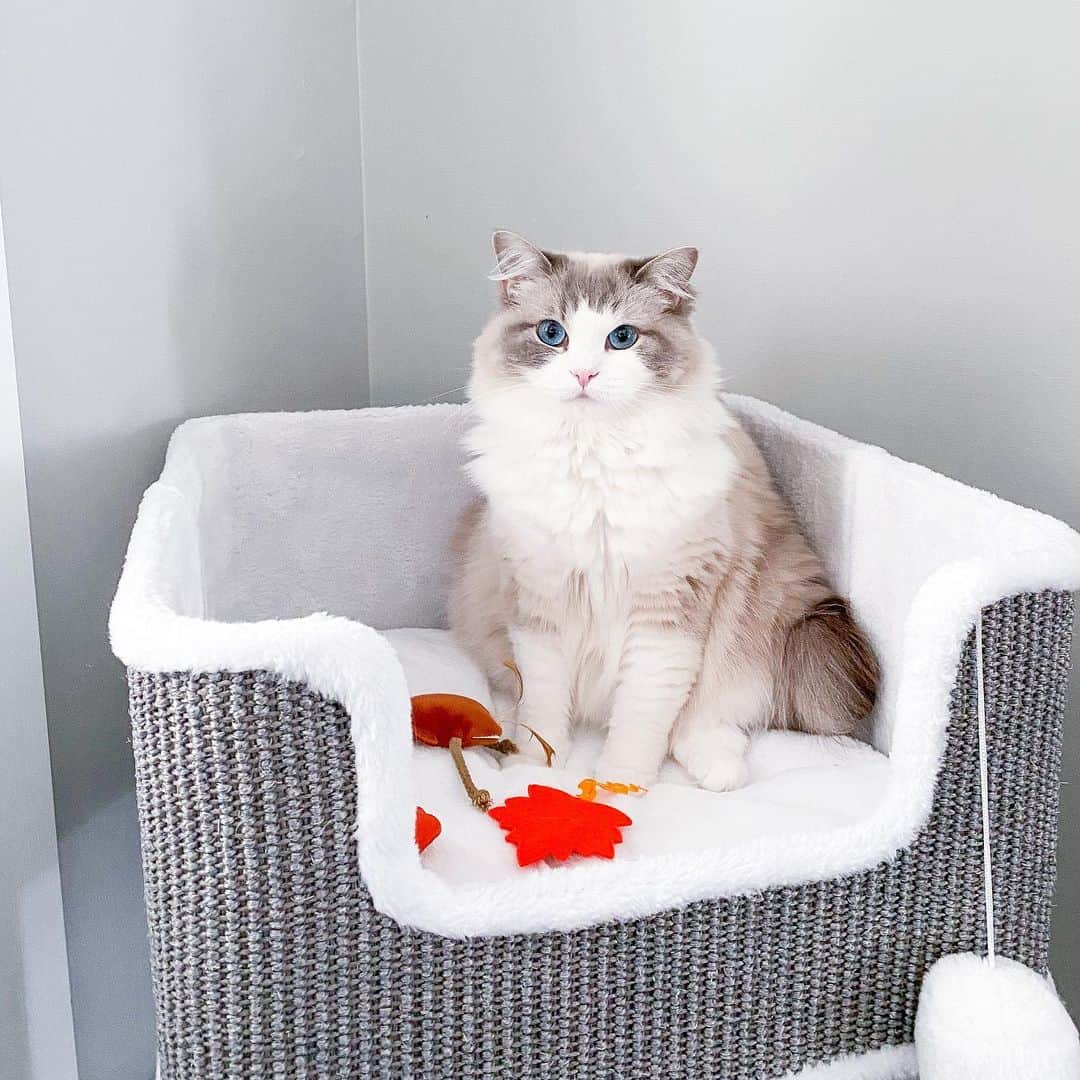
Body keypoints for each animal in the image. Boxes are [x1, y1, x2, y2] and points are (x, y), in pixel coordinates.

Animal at [447, 232, 876, 790]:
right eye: (551, 333)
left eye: (623, 337)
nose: (584, 374)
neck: (593, 459)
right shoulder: (539, 609)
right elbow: (543, 714)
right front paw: (530, 771)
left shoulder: (667, 616)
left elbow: (640, 722)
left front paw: (620, 789)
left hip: (769, 614)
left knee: (707, 720)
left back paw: (721, 773)